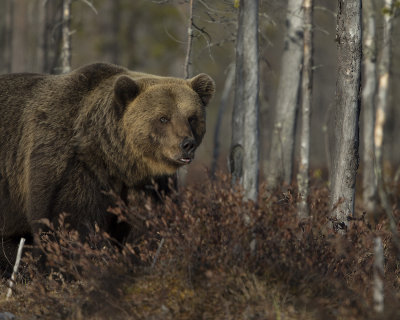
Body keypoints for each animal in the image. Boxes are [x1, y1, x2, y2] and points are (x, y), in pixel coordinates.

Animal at [0, 62, 216, 270]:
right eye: (163, 118)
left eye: (192, 117)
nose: (187, 144)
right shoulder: (70, 167)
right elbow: (67, 222)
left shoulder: (147, 184)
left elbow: (145, 227)